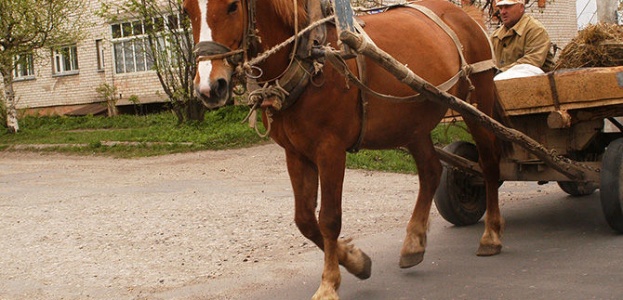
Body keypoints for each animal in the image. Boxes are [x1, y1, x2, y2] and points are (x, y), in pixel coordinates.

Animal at [182, 0, 508, 298]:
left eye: (232, 6)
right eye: (187, 10)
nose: (209, 88)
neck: (309, 56)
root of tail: (463, 11)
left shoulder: (330, 151)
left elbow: (328, 219)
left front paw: (329, 283)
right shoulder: (295, 153)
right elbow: (304, 220)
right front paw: (356, 261)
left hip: (476, 101)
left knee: (489, 162)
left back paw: (491, 235)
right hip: (412, 123)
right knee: (431, 171)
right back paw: (413, 244)